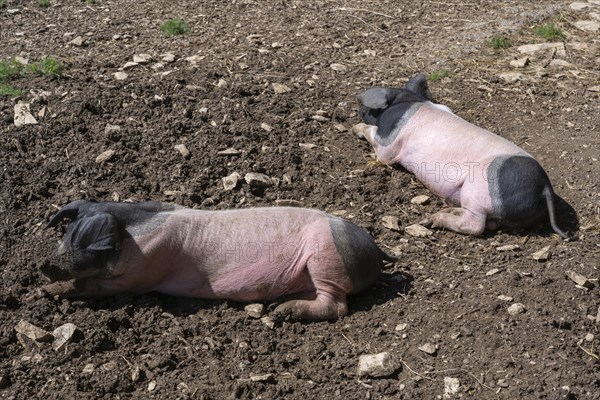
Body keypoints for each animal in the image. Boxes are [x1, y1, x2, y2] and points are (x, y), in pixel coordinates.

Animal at [354, 72, 568, 238]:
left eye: (371, 109)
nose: (360, 109)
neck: (410, 100)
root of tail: (544, 188)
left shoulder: (389, 142)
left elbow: (379, 146)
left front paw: (356, 128)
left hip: (477, 191)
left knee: (476, 225)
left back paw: (430, 220)